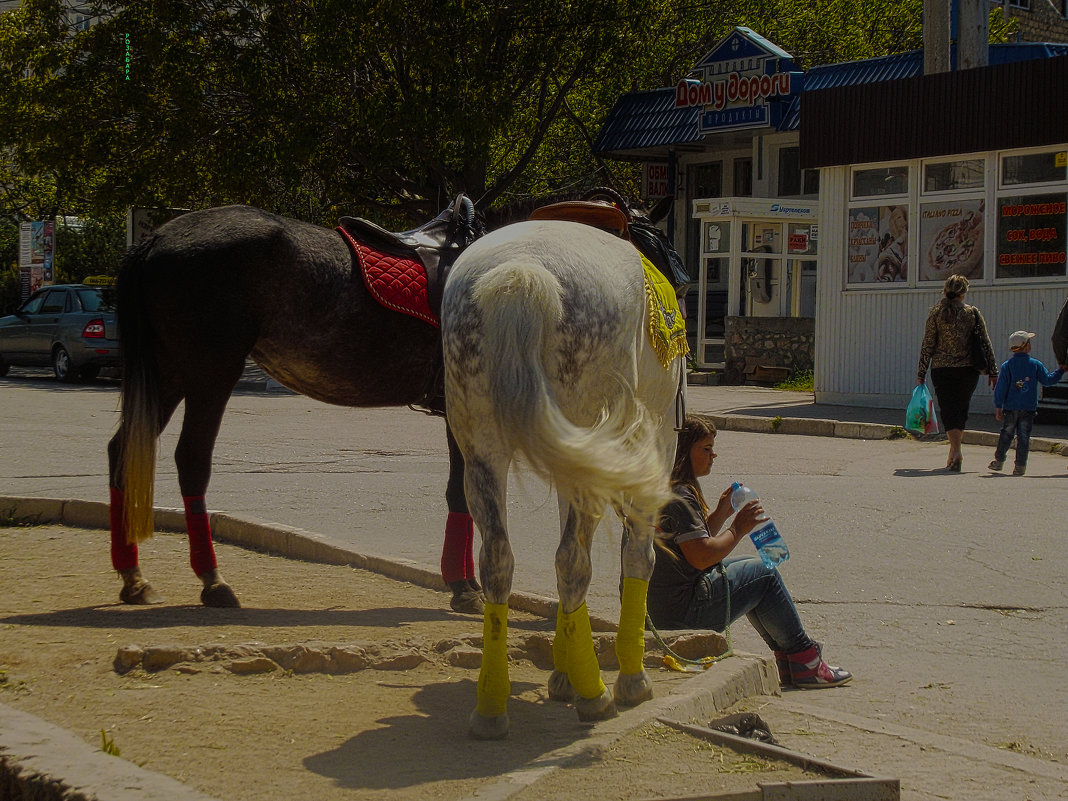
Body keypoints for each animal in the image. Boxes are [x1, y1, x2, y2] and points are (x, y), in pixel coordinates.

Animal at [105, 199, 484, 606]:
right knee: (191, 458)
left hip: (168, 372)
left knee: (122, 450)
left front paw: (469, 583)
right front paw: (464, 586)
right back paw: (213, 580)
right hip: (211, 371)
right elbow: (463, 490)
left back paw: (134, 577)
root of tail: (157, 238)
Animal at [440, 217, 683, 739]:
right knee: (574, 560)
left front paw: (563, 670)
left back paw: (491, 706)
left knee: (499, 560)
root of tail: (521, 274)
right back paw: (595, 695)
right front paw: (629, 678)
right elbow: (637, 557)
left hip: (483, 453)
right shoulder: (652, 446)